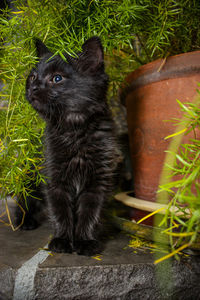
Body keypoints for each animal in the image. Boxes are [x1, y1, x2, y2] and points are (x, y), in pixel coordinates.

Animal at [20, 36, 118, 254]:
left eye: (57, 79)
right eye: (32, 76)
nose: (33, 88)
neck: (73, 131)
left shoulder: (97, 181)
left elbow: (90, 213)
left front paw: (85, 241)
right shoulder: (53, 179)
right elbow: (60, 211)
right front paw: (62, 240)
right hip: (30, 179)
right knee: (24, 200)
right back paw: (25, 222)